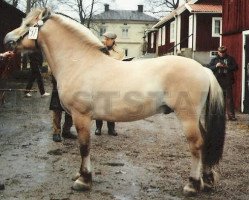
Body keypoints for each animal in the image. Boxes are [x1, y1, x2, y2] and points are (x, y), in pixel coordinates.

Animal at [3, 7, 226, 195]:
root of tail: (203, 69)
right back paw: (207, 181)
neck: (80, 62)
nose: (7, 39)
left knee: (196, 144)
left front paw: (84, 180)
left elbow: (84, 146)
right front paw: (81, 175)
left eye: (28, 24)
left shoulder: (81, 116)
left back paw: (192, 185)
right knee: (205, 142)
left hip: (188, 116)